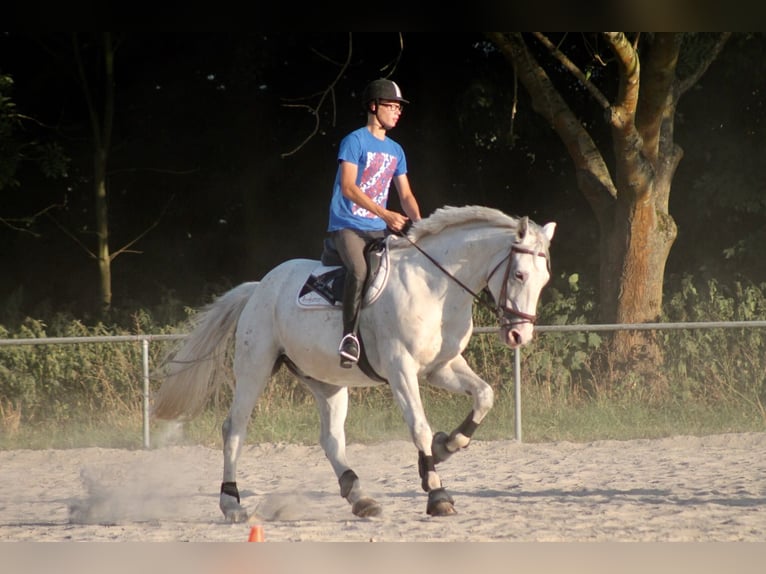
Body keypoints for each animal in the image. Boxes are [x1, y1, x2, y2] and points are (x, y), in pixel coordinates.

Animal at [152, 205, 556, 520]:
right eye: (519, 274)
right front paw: (437, 491)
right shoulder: (401, 369)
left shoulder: (440, 367)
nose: (519, 336)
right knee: (234, 428)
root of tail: (259, 287)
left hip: (326, 380)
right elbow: (420, 427)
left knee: (331, 439)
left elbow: (484, 396)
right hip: (254, 366)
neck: (435, 286)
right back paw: (232, 503)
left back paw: (360, 497)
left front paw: (447, 446)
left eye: (544, 279)